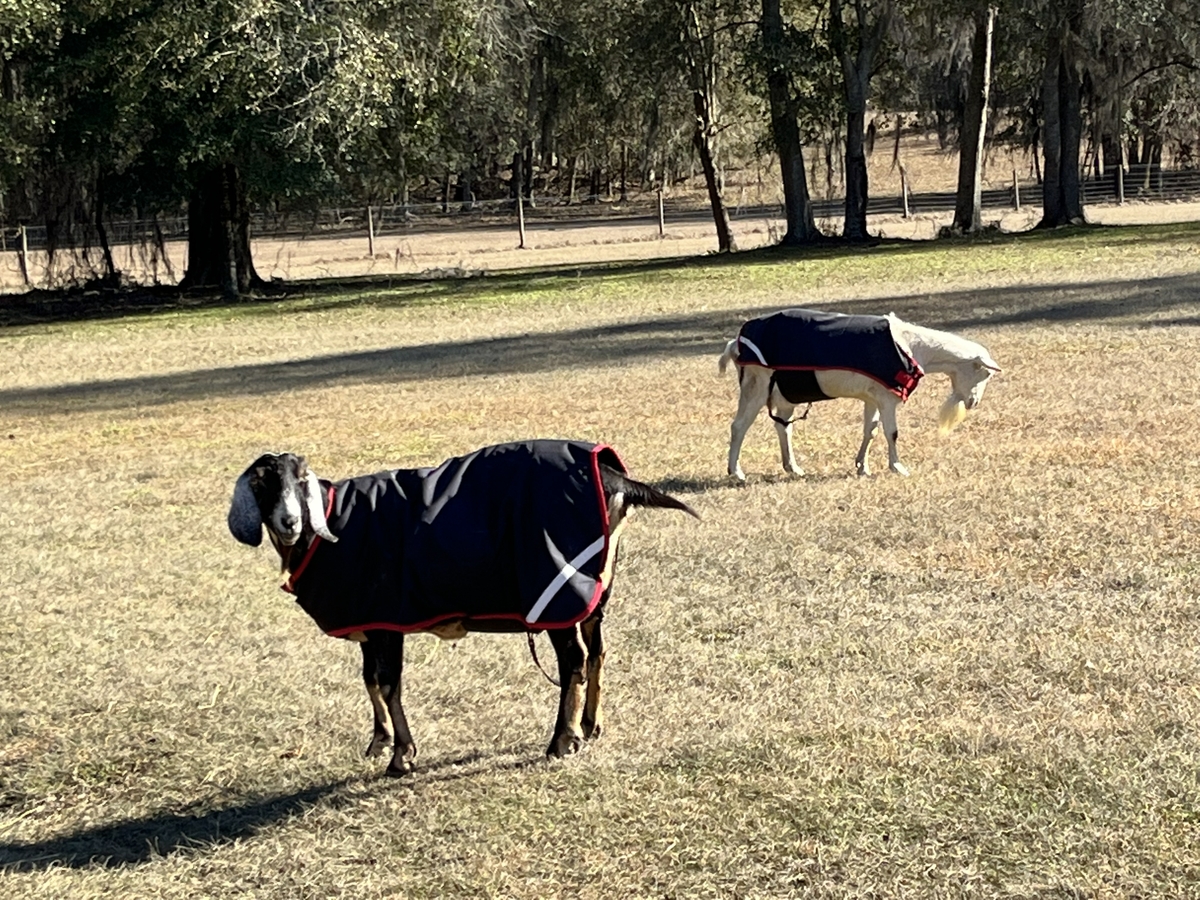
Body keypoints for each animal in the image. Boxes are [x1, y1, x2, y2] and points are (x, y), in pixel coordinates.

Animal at [228, 440, 696, 775]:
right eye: (263, 485)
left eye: (299, 480)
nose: (290, 522)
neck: (330, 526)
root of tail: (610, 477)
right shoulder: (367, 616)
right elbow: (369, 680)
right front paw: (378, 741)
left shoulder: (386, 620)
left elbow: (388, 684)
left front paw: (402, 757)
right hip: (595, 590)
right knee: (597, 653)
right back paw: (589, 725)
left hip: (555, 587)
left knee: (574, 662)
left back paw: (561, 740)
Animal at [719, 308, 1001, 480]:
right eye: (984, 374)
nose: (973, 402)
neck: (912, 347)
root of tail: (736, 344)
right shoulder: (887, 398)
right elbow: (891, 433)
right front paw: (897, 467)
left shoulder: (873, 397)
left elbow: (871, 430)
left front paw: (862, 467)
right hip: (756, 384)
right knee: (739, 426)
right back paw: (736, 471)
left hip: (788, 391)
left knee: (783, 427)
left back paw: (793, 467)